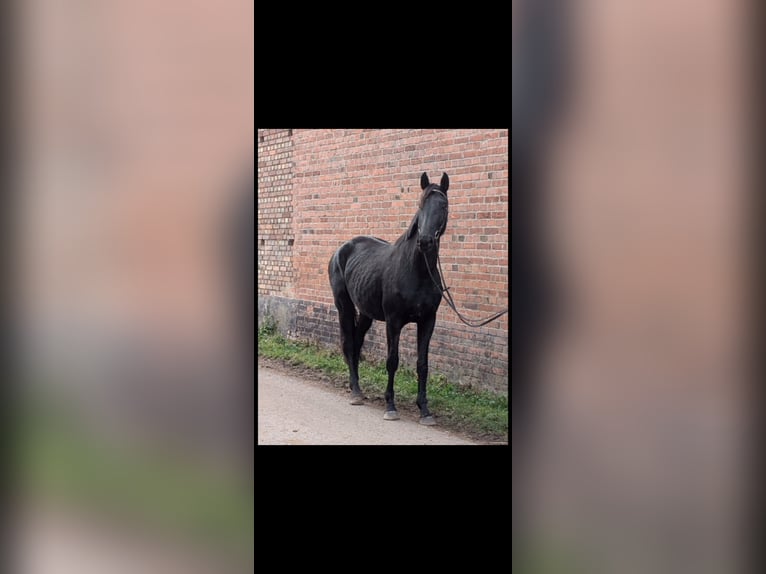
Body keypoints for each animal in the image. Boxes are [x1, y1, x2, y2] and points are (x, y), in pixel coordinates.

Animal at [328, 172, 449, 425]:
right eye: (420, 204)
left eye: (443, 205)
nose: (425, 241)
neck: (417, 270)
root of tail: (341, 249)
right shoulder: (394, 321)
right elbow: (392, 361)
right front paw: (390, 406)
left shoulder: (427, 321)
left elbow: (422, 365)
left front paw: (424, 410)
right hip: (344, 306)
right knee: (349, 343)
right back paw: (355, 392)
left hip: (365, 313)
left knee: (356, 344)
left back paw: (357, 388)